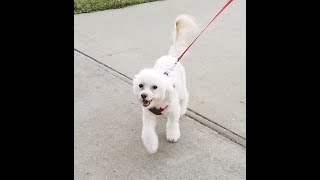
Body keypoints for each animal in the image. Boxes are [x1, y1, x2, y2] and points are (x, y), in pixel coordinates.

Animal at [132, 14, 198, 154]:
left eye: (154, 87)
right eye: (141, 85)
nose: (143, 95)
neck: (158, 104)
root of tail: (171, 56)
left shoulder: (173, 112)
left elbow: (172, 124)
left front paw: (173, 136)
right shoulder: (148, 117)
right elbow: (148, 132)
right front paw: (151, 146)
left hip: (182, 90)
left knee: (185, 98)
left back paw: (183, 110)